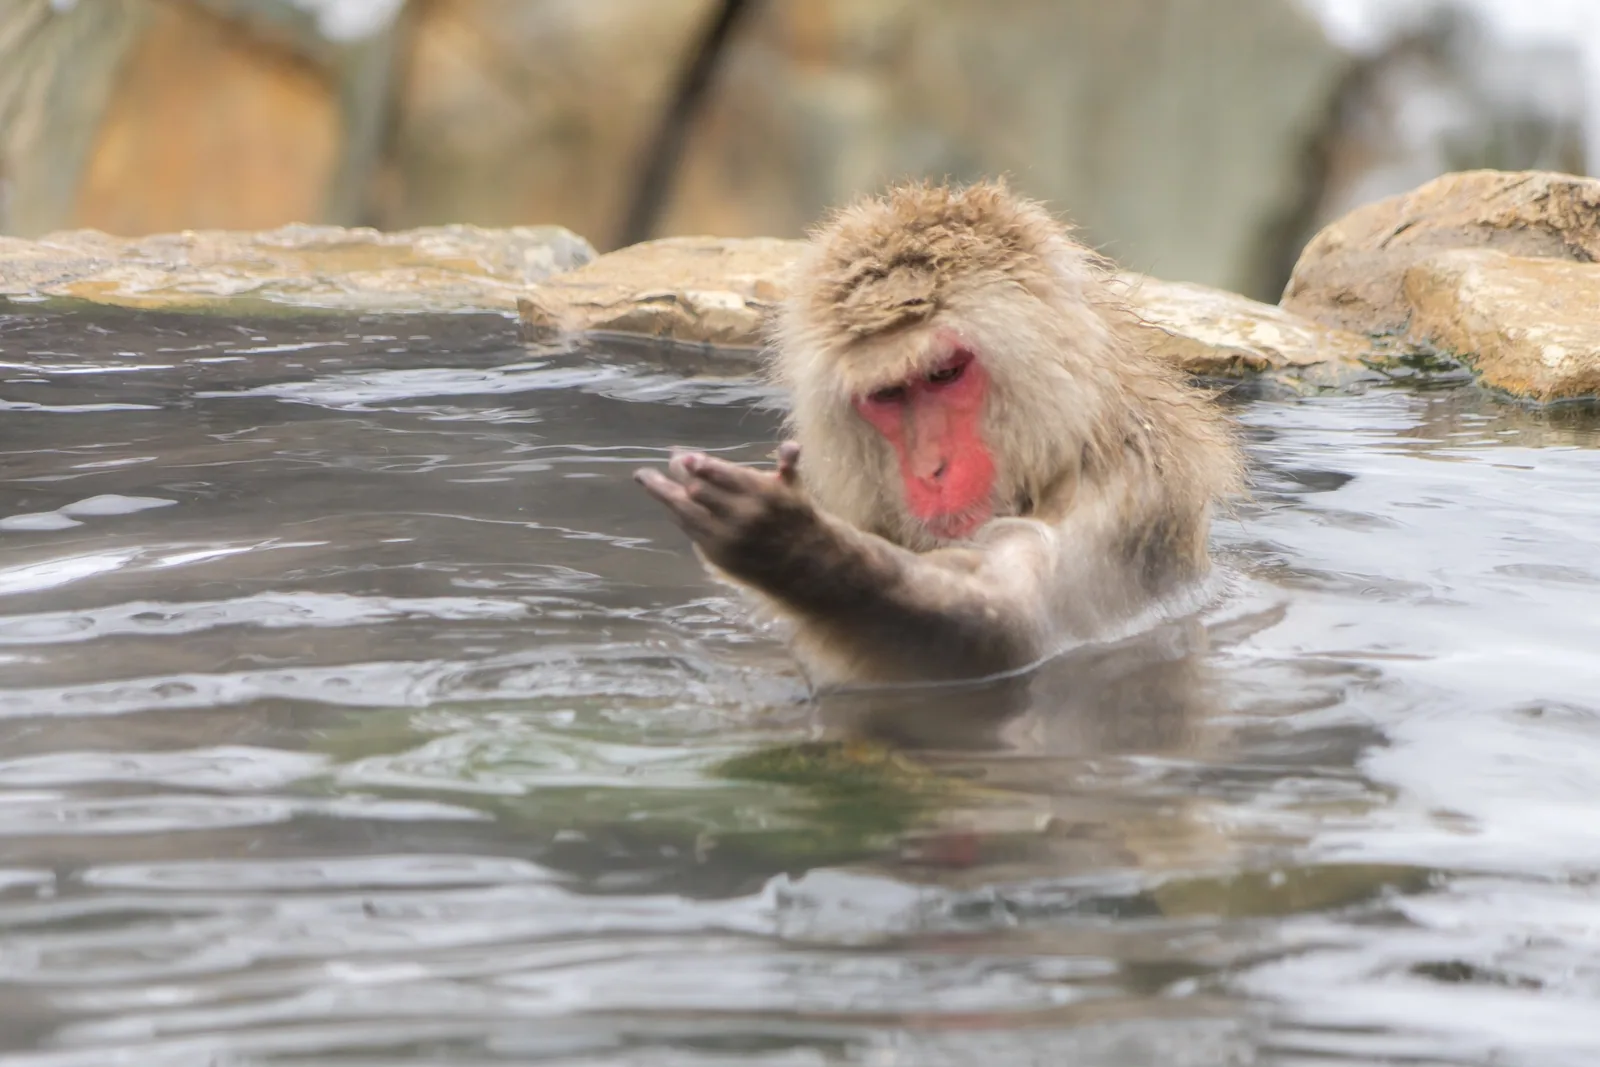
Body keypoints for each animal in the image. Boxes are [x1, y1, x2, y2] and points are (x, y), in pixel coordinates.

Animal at [635, 180, 1244, 689]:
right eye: (888, 394)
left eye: (944, 374)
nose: (933, 469)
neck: (1066, 448)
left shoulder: (1115, 507)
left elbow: (1008, 624)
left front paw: (796, 549)